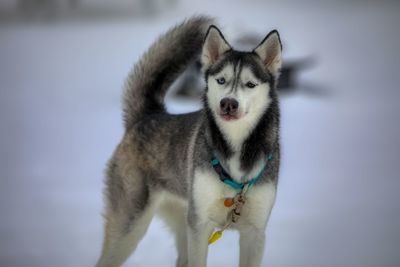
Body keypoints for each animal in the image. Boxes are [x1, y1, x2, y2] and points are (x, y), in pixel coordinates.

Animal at [94, 15, 282, 267]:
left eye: (250, 84)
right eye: (221, 80)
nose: (228, 103)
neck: (235, 145)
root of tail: (148, 115)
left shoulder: (255, 232)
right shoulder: (199, 228)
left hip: (181, 221)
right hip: (130, 227)